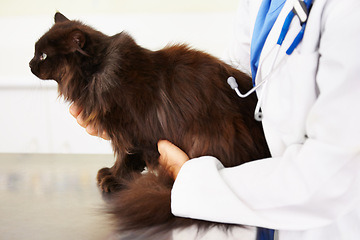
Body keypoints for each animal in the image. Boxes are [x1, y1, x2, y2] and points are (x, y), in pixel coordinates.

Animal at [30, 12, 270, 238]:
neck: (98, 71)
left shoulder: (130, 130)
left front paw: (113, 177)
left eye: (43, 55)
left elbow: (125, 156)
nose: (30, 64)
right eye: (35, 52)